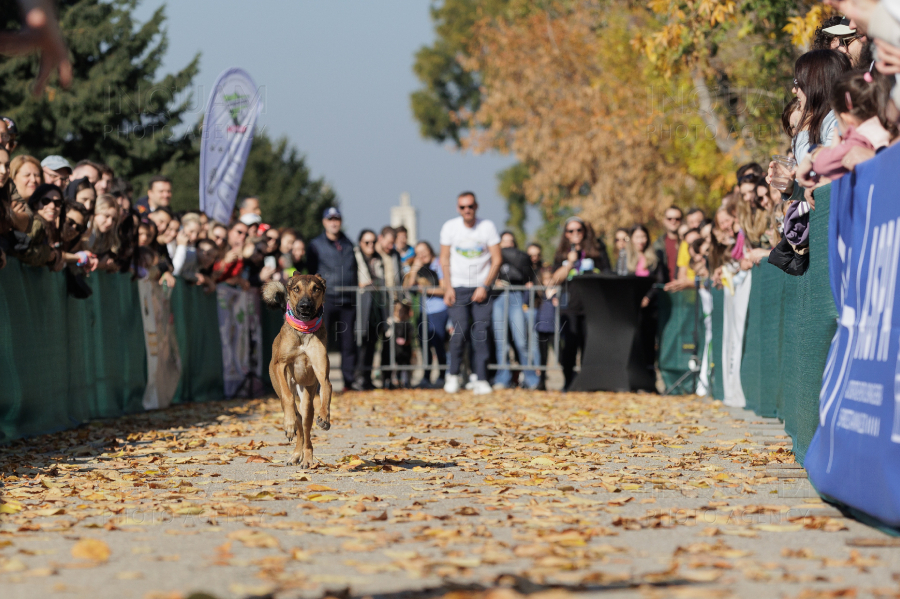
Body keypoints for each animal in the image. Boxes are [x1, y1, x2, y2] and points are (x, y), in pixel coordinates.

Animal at [262, 276, 332, 468]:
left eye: (316, 288)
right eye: (296, 289)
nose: (305, 306)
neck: (303, 332)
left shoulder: (321, 371)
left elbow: (327, 388)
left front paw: (325, 417)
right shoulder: (281, 365)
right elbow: (287, 398)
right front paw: (288, 424)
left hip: (306, 394)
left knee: (305, 423)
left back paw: (305, 457)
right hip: (283, 388)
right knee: (296, 415)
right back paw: (294, 446)